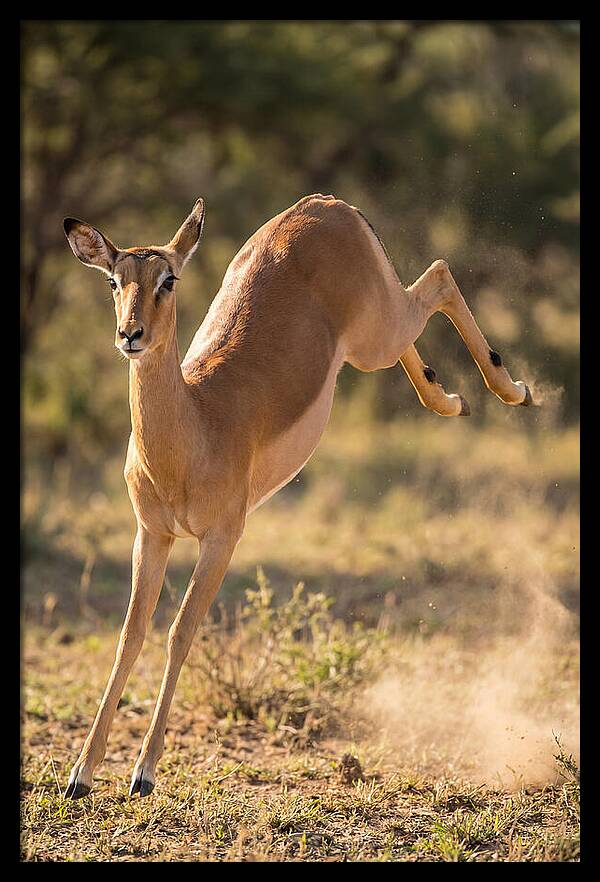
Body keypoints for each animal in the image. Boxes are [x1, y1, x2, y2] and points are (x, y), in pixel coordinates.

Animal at [62, 194, 532, 799]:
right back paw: (452, 399)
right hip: (372, 340)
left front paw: (143, 772)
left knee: (440, 275)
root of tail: (326, 204)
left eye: (168, 279)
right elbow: (129, 636)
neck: (194, 426)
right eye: (114, 280)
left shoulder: (222, 538)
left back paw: (513, 390)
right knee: (424, 310)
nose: (130, 335)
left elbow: (180, 632)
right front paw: (80, 773)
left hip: (376, 333)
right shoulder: (153, 533)